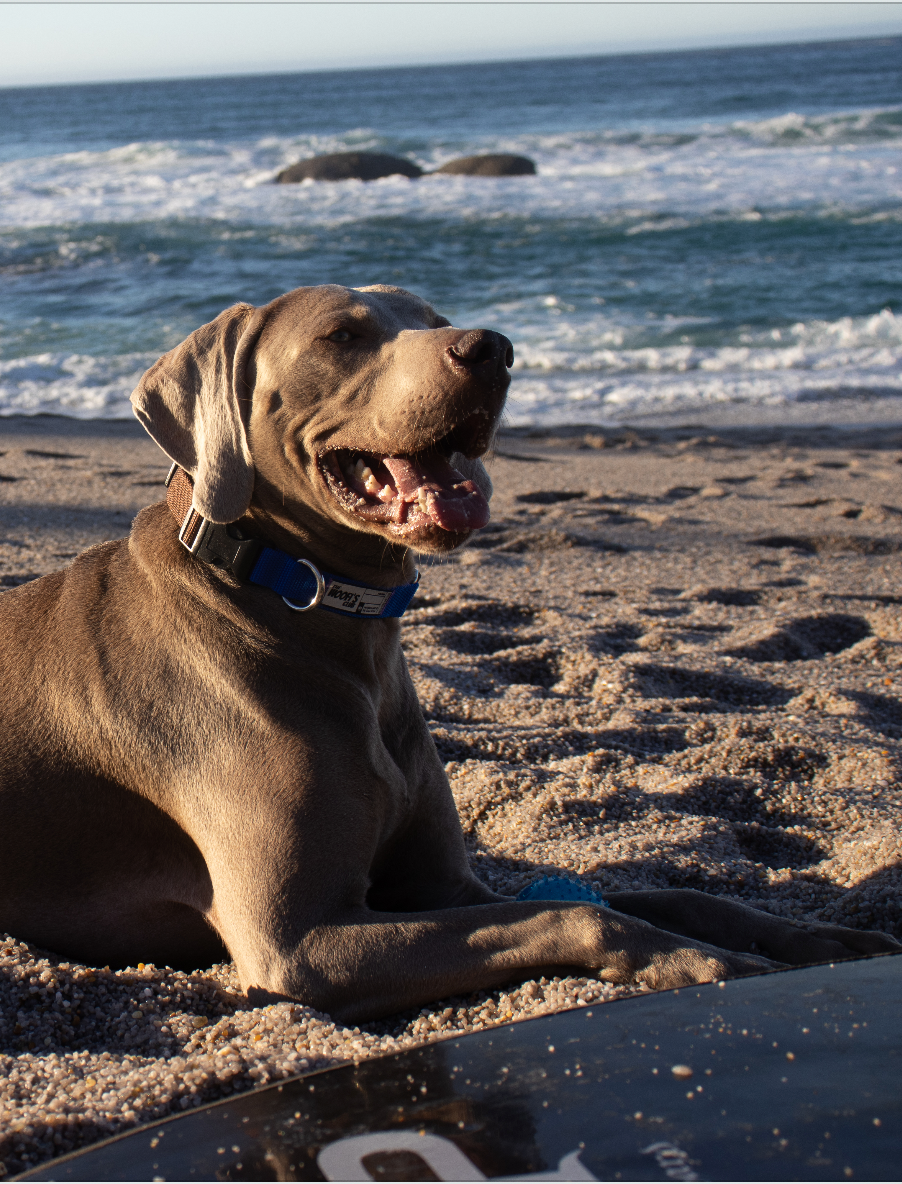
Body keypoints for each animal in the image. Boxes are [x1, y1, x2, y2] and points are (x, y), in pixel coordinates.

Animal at [0, 281, 894, 1022]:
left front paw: (815, 941)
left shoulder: (443, 884)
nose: (493, 347)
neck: (305, 606)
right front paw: (701, 965)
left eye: (432, 316)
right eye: (343, 335)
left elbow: (656, 895)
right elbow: (582, 913)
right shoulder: (300, 944)